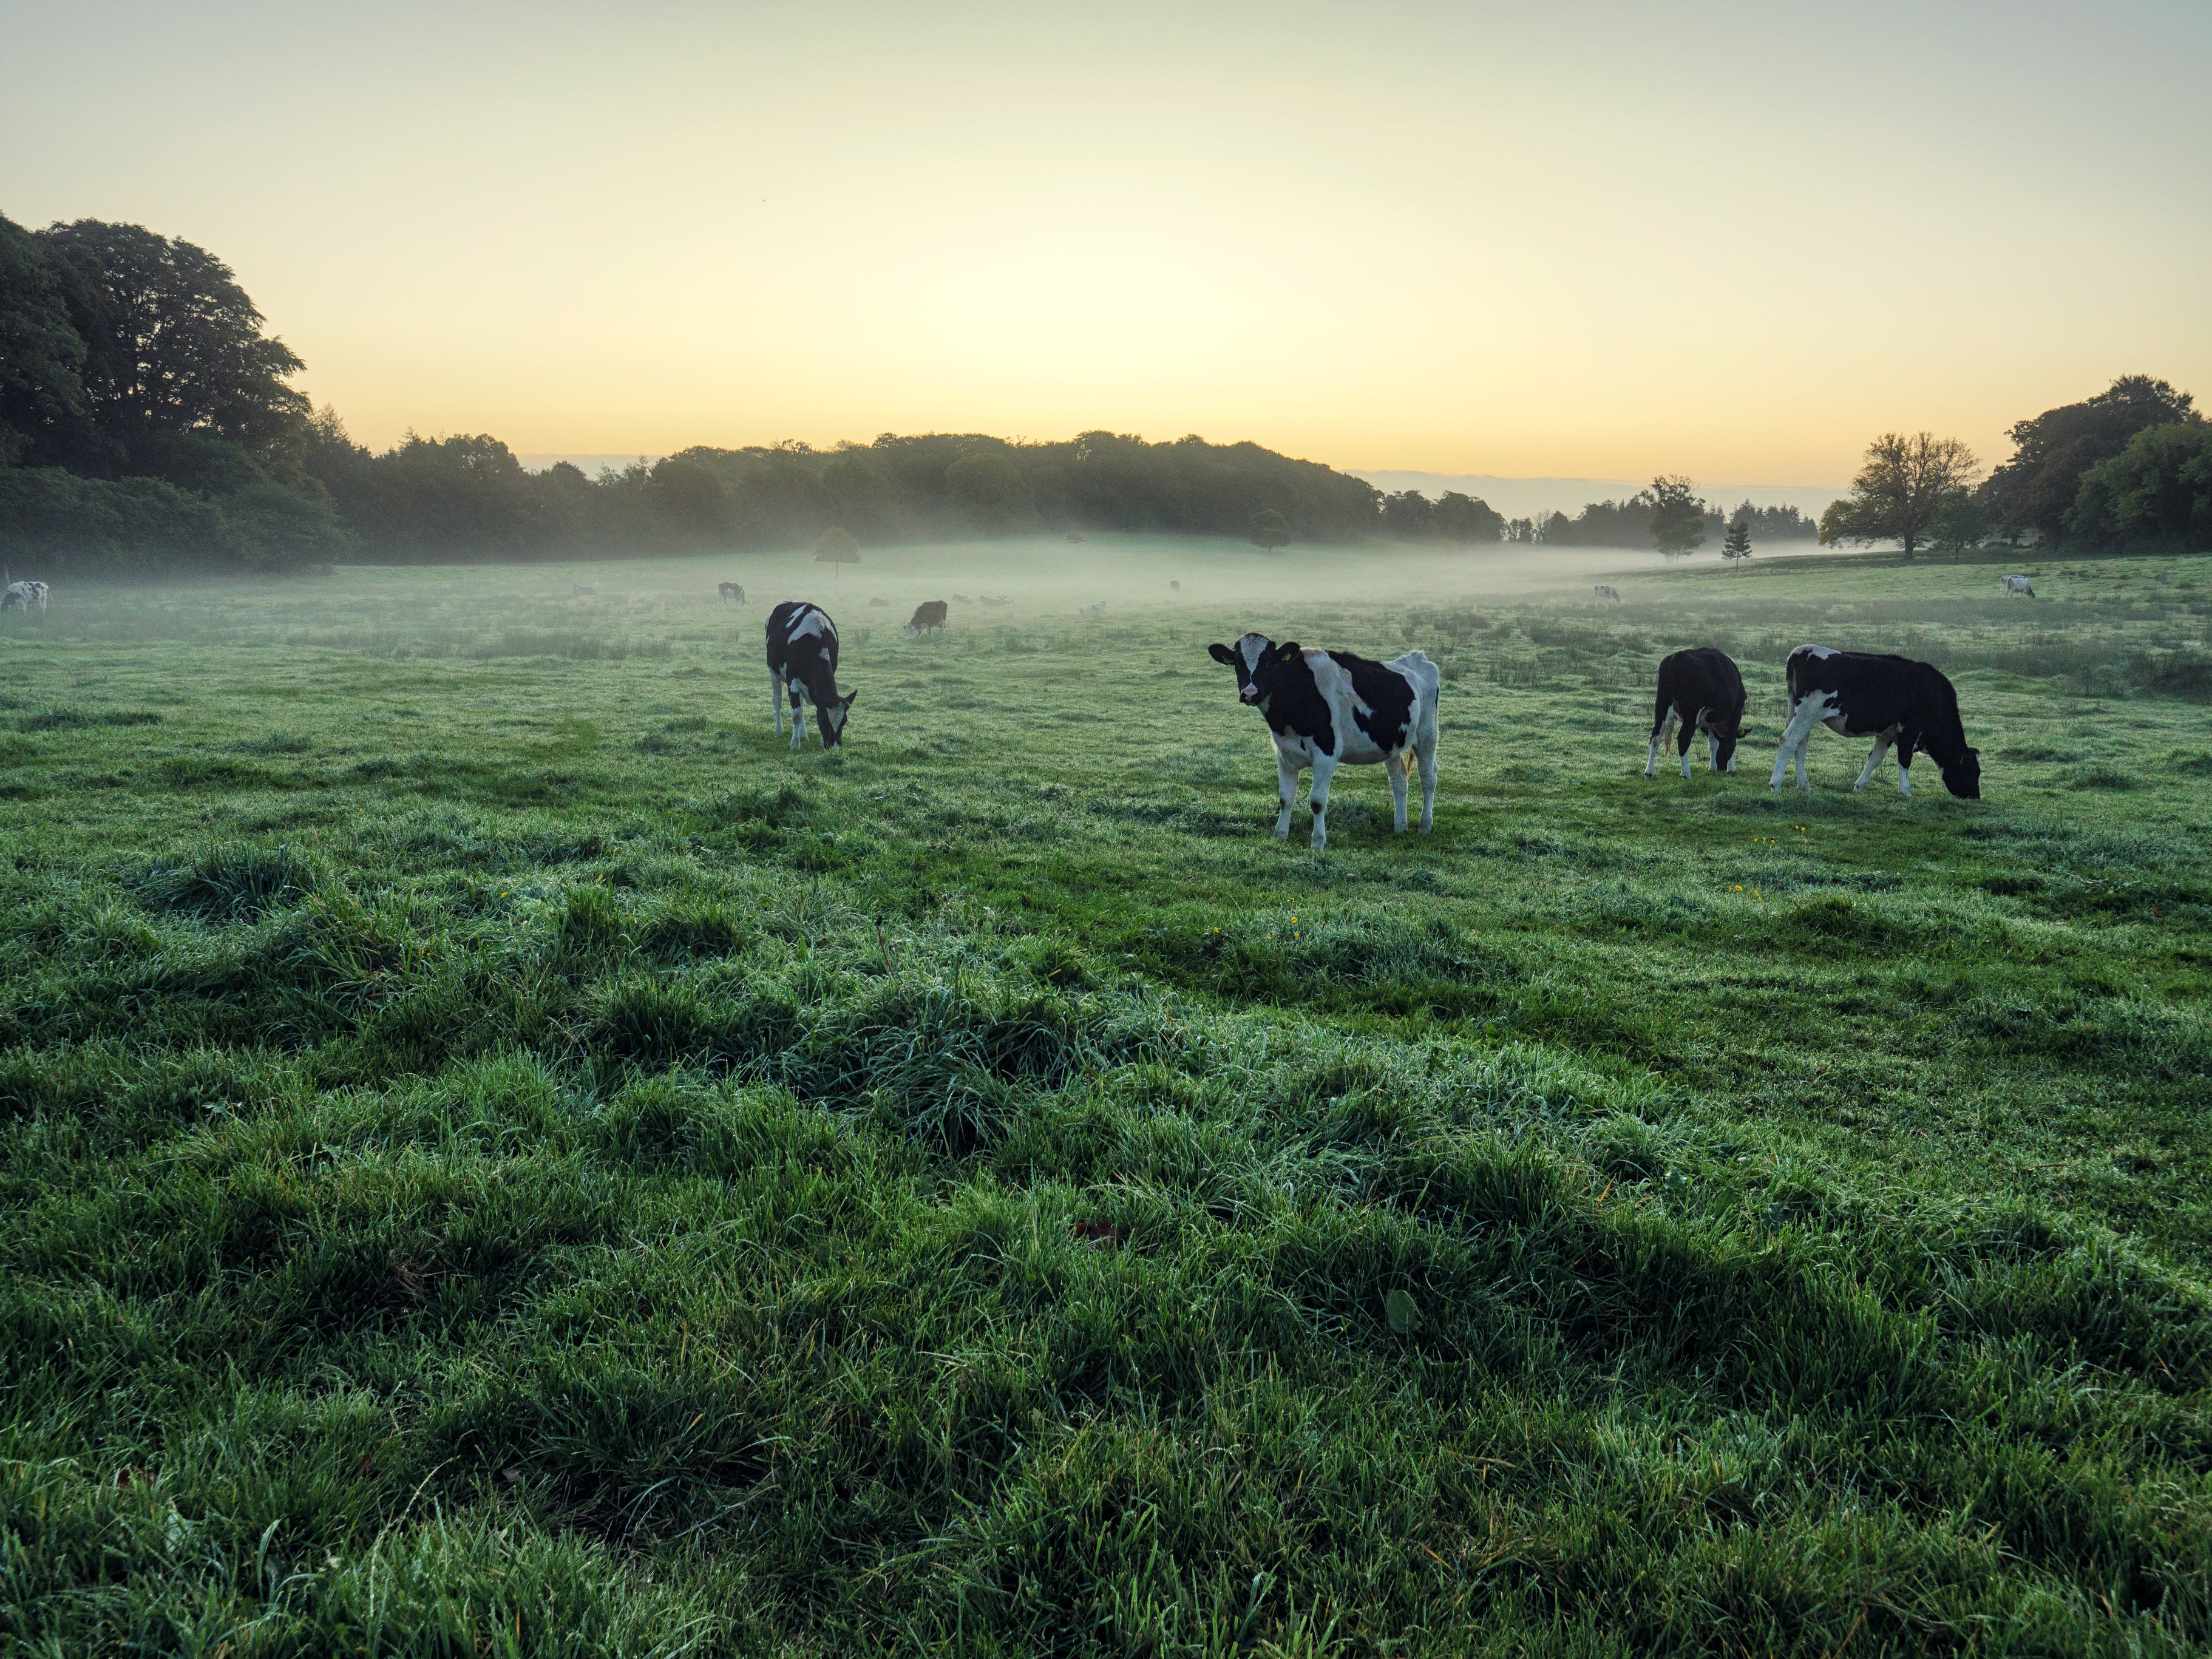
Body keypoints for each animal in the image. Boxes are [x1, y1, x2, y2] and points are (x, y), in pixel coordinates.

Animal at [765, 602, 858, 751]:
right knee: (778, 701)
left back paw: (803, 734)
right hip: (773, 671)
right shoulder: (792, 680)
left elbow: (807, 709)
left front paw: (820, 741)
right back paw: (779, 731)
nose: (834, 748)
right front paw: (795, 745)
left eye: (844, 721)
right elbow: (796, 715)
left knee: (801, 704)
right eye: (824, 721)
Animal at [1203, 628, 1442, 849]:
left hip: (1428, 736)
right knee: (1399, 781)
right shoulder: (1284, 753)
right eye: (1237, 662)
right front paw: (1280, 835)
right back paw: (1400, 826)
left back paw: (1425, 825)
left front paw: (1318, 842)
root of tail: (1417, 658)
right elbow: (1285, 798)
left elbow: (1317, 801)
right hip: (1391, 744)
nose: (1250, 693)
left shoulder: (1326, 755)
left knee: (1428, 778)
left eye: (1269, 662)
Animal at [1654, 646, 1752, 782]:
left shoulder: (1709, 722)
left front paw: (1712, 768)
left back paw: (1649, 773)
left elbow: (1713, 744)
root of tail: (1677, 657)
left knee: (1655, 736)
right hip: (1691, 711)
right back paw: (1686, 774)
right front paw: (1731, 770)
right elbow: (1731, 740)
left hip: (1661, 705)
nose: (1721, 767)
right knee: (1683, 738)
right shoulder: (1737, 712)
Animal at [1769, 646, 1982, 801]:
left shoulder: (1886, 732)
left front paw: (1859, 786)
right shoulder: (1909, 729)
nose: (1975, 797)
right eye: (1973, 771)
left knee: (1800, 746)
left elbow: (1876, 759)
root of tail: (1801, 651)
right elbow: (1904, 760)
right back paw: (1776, 784)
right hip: (1808, 713)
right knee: (1788, 741)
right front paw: (1906, 791)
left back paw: (1804, 786)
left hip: (1799, 714)